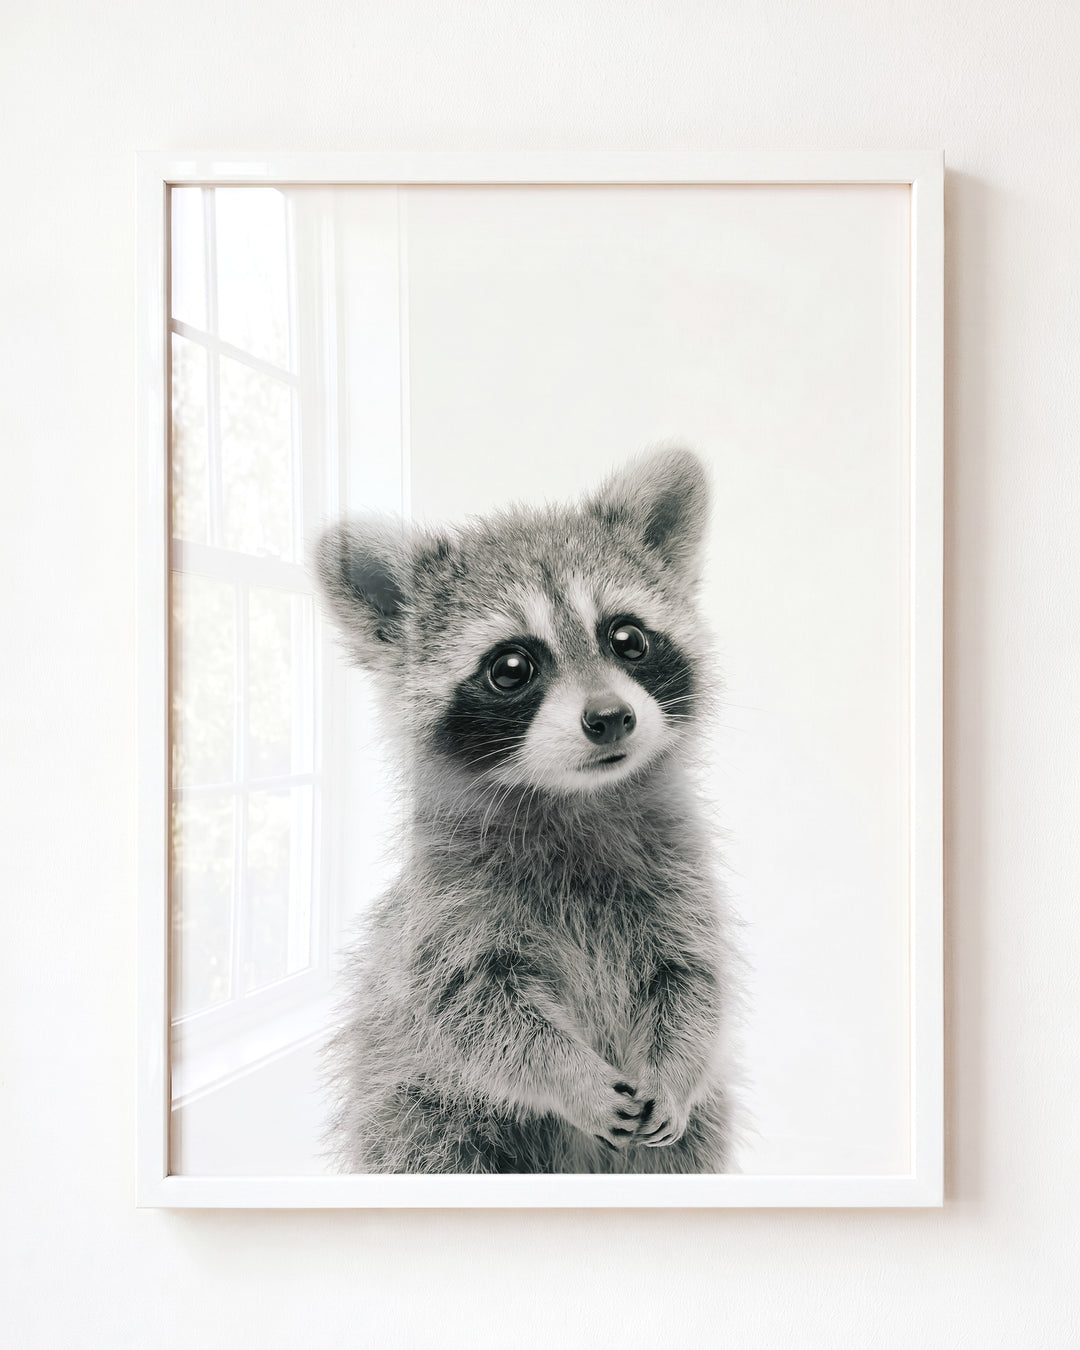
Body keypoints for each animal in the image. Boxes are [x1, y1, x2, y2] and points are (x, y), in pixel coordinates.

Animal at [314, 448, 741, 1174]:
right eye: (511, 666)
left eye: (628, 638)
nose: (610, 718)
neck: (575, 797)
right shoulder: (445, 912)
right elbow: (476, 1013)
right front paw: (573, 1079)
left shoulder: (680, 879)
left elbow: (693, 980)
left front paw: (676, 1068)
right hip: (420, 1114)